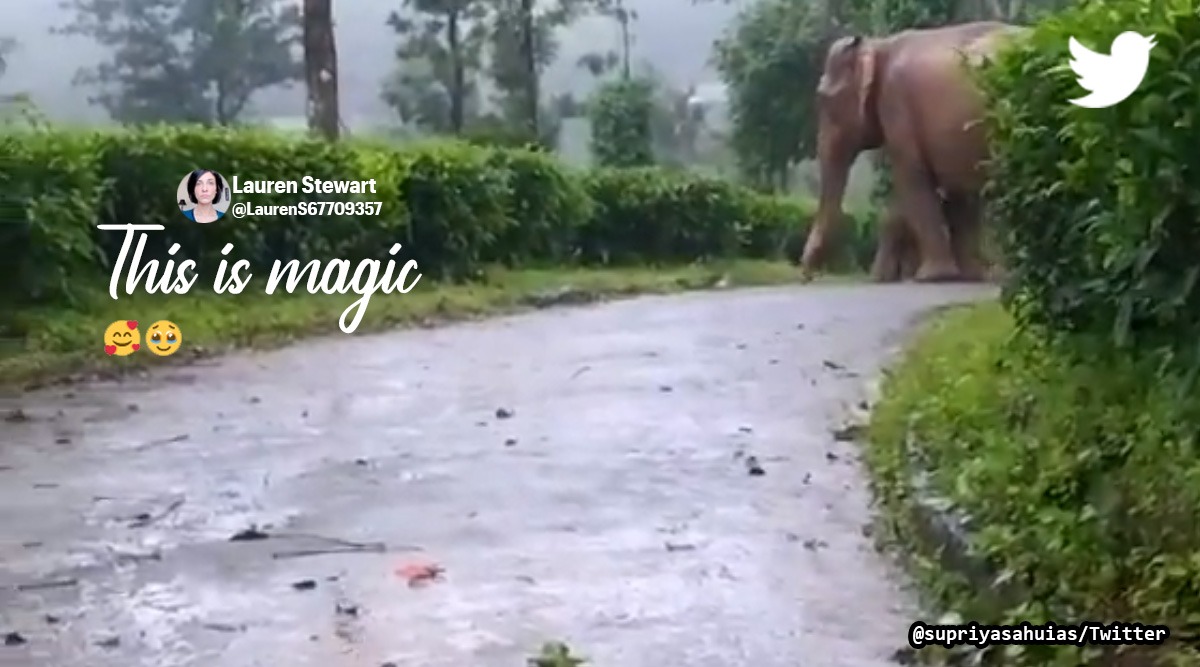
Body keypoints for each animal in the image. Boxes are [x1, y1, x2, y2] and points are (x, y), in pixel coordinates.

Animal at [799, 21, 1025, 282]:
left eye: (823, 100)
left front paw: (932, 277)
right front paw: (966, 275)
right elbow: (959, 192)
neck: (879, 44)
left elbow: (912, 179)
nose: (807, 276)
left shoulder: (897, 106)